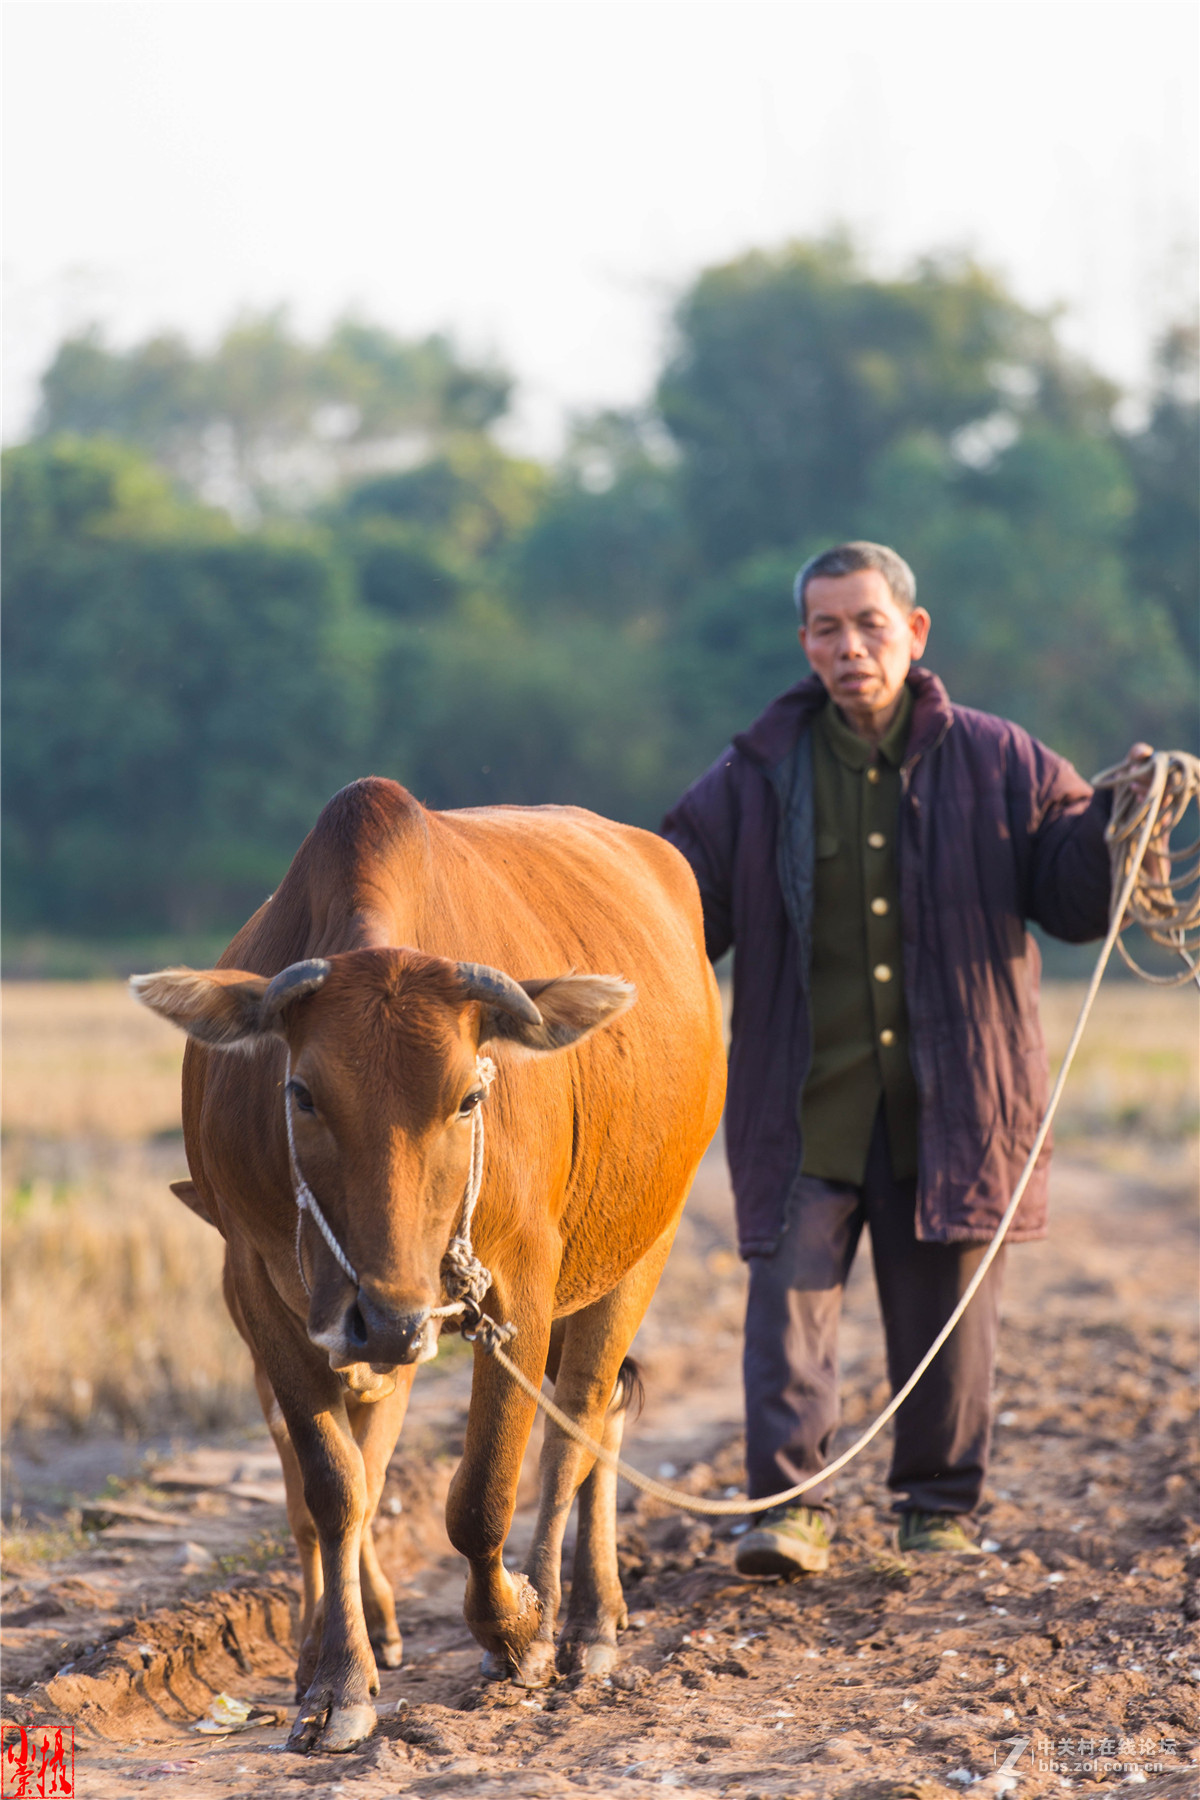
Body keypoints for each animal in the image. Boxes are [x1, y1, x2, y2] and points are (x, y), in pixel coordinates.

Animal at [135, 781, 726, 1749]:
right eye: (301, 1092)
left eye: (470, 1095)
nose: (392, 1317)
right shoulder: (263, 1288)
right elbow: (336, 1487)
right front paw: (336, 1680)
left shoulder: (520, 1282)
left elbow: (481, 1493)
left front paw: (517, 1628)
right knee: (588, 1420)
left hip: (643, 1248)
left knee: (580, 1425)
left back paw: (583, 1622)